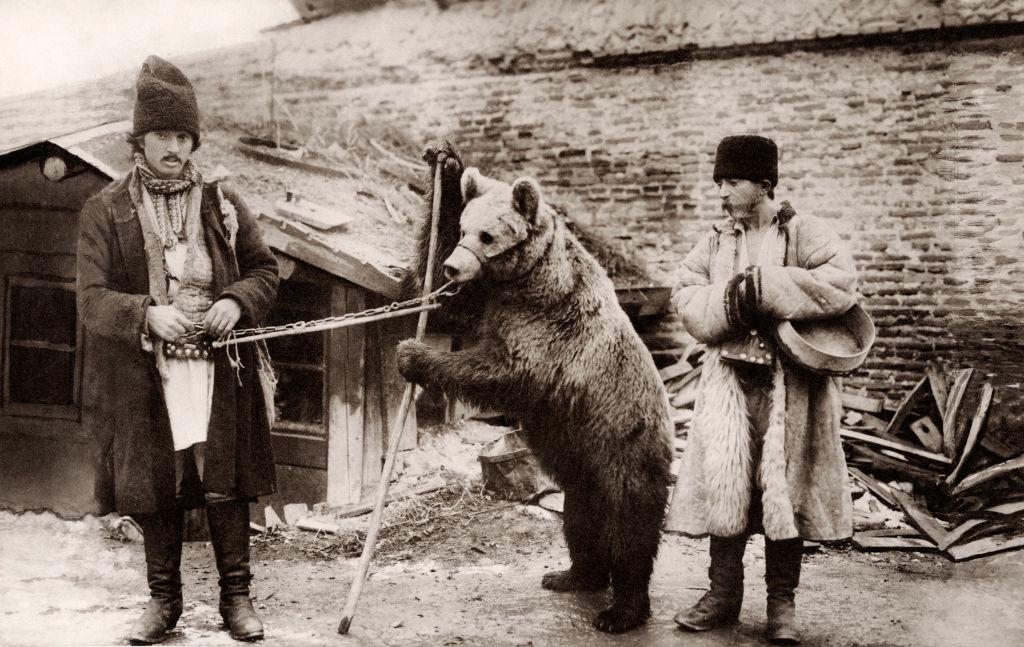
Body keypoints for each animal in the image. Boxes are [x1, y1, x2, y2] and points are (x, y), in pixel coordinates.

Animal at [395, 141, 675, 630]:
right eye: (465, 228)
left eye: (488, 236)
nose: (452, 267)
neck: (523, 279)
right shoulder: (489, 296)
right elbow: (444, 289)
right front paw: (446, 164)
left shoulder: (550, 323)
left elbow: (507, 370)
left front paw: (413, 355)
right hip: (582, 461)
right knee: (579, 519)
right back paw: (571, 575)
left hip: (624, 445)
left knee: (630, 528)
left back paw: (621, 610)